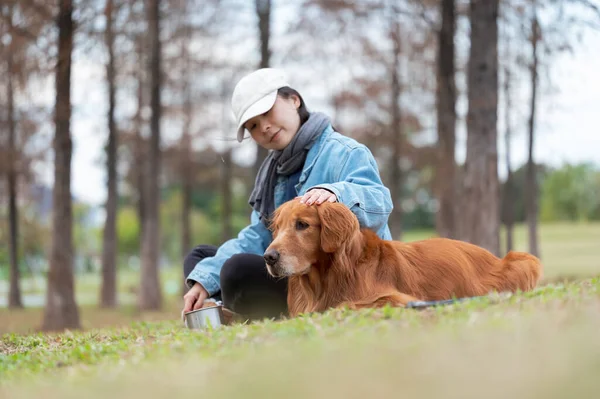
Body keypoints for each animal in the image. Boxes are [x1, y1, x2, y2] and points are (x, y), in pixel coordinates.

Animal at [264, 200, 544, 318]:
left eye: (302, 224)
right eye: (277, 228)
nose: (268, 257)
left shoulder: (397, 298)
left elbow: (344, 305)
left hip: (523, 261)